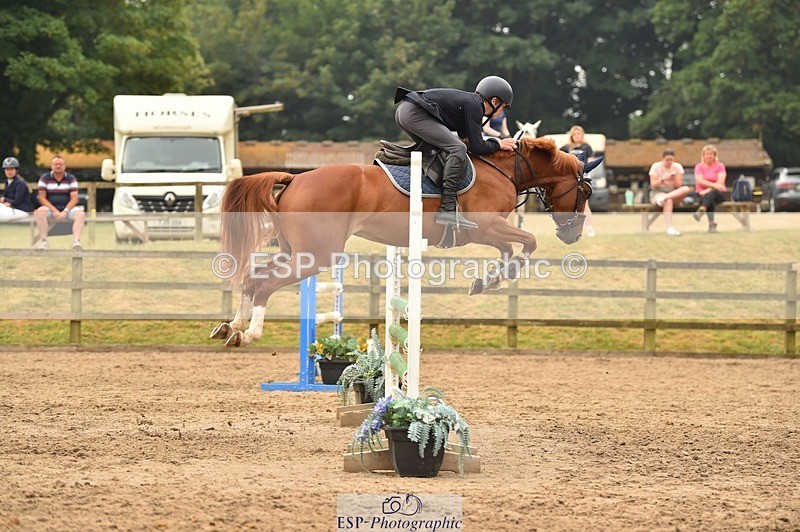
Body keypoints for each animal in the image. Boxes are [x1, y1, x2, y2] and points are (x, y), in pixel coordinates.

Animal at [210, 136, 592, 347]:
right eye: (585, 190)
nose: (572, 234)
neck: (504, 170)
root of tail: (294, 180)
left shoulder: (489, 231)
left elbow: (511, 250)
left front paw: (487, 281)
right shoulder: (485, 227)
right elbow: (528, 243)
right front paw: (495, 278)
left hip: (296, 252)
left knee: (253, 277)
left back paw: (232, 327)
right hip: (316, 256)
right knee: (265, 285)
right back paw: (249, 333)